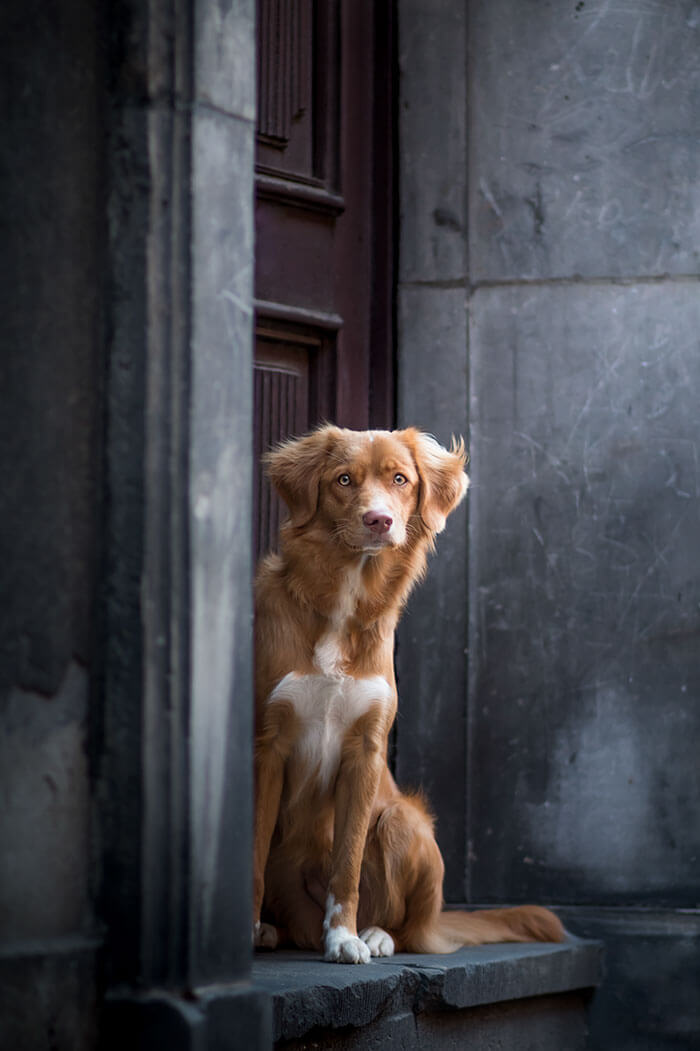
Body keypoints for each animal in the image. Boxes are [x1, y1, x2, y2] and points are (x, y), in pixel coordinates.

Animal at [251, 424, 563, 962]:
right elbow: (249, 857)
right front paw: (244, 932)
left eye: (400, 479)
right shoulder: (266, 746)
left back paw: (376, 935)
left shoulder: (365, 751)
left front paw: (345, 938)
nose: (379, 520)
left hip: (404, 820)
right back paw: (273, 931)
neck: (343, 602)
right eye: (344, 479)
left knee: (410, 927)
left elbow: (348, 866)